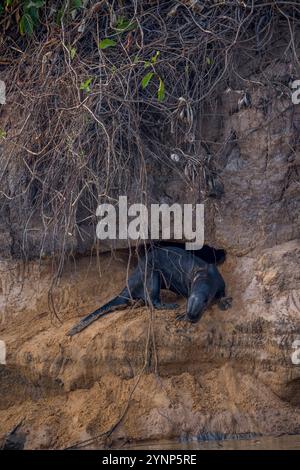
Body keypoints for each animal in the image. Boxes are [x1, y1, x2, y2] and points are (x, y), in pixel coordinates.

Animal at [67, 248, 232, 336]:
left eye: (200, 308)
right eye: (188, 308)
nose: (190, 317)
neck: (205, 277)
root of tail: (129, 283)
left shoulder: (218, 279)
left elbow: (223, 292)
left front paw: (225, 302)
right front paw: (180, 315)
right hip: (151, 275)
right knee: (152, 301)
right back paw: (168, 306)